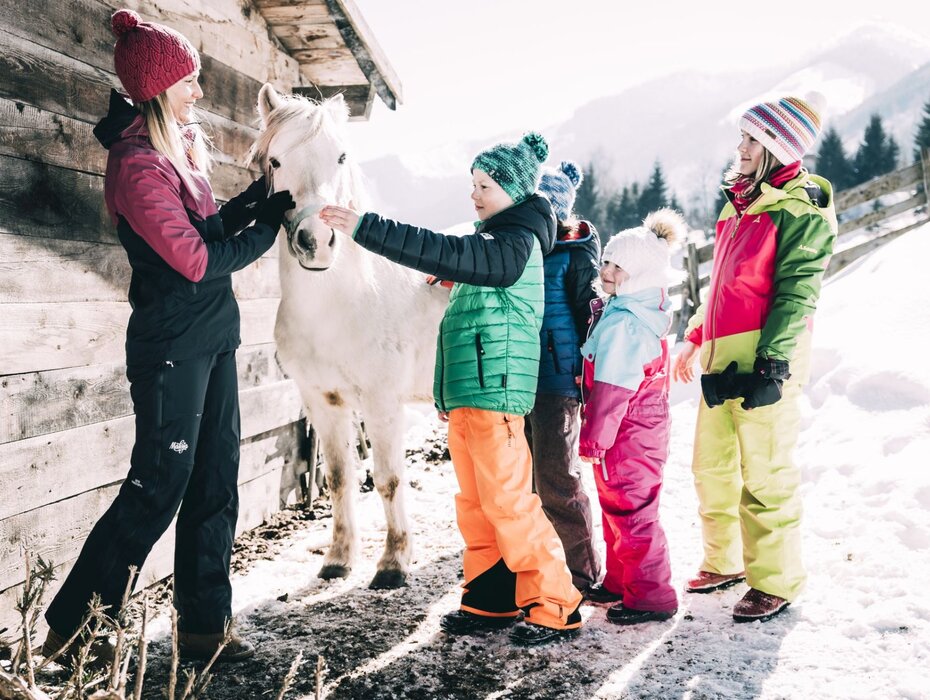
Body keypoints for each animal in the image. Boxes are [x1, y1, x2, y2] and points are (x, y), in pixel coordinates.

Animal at [252, 83, 450, 589]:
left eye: (340, 156)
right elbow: (341, 479)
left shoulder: (382, 404)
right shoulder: (324, 402)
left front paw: (393, 563)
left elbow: (388, 479)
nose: (316, 241)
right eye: (276, 161)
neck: (340, 307)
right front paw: (338, 559)